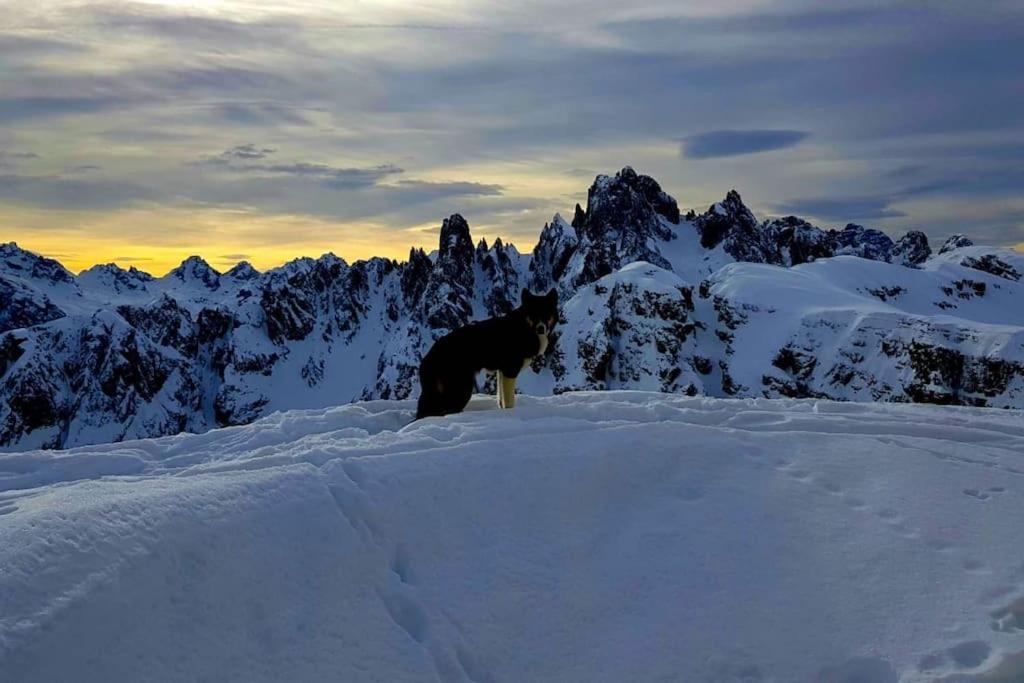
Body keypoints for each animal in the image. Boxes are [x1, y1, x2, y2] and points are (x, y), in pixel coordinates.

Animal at [413, 286, 561, 419]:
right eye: (533, 314)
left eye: (546, 314)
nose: (541, 328)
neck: (524, 327)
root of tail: (428, 358)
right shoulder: (510, 371)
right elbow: (509, 402)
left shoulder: (501, 372)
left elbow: (501, 400)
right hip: (462, 387)